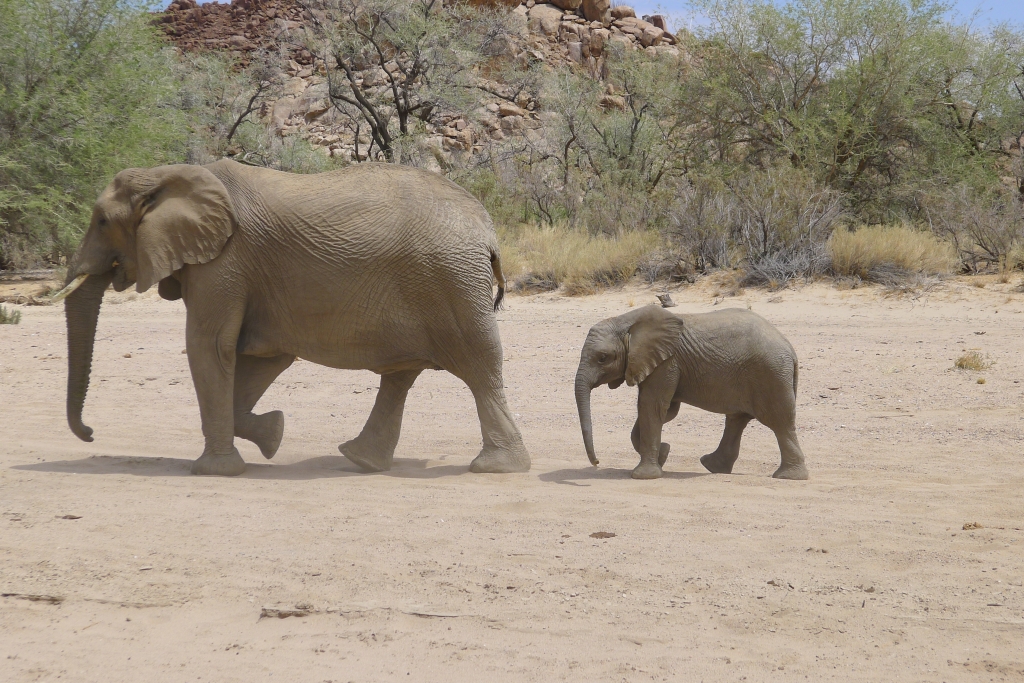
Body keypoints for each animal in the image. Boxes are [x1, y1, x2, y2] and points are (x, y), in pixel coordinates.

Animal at [58, 161, 532, 475]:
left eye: (102, 221)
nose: (91, 433)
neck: (168, 174)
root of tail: (486, 231)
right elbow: (261, 357)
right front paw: (273, 435)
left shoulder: (225, 261)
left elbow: (210, 345)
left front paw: (215, 470)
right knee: (402, 372)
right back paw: (360, 459)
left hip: (449, 282)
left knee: (478, 365)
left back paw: (495, 467)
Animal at [577, 305, 806, 481]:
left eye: (603, 358)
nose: (597, 463)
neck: (626, 321)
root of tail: (791, 349)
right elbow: (666, 410)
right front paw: (664, 453)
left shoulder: (667, 363)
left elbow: (651, 406)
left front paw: (645, 475)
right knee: (737, 420)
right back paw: (713, 467)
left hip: (770, 374)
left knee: (779, 423)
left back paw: (789, 477)